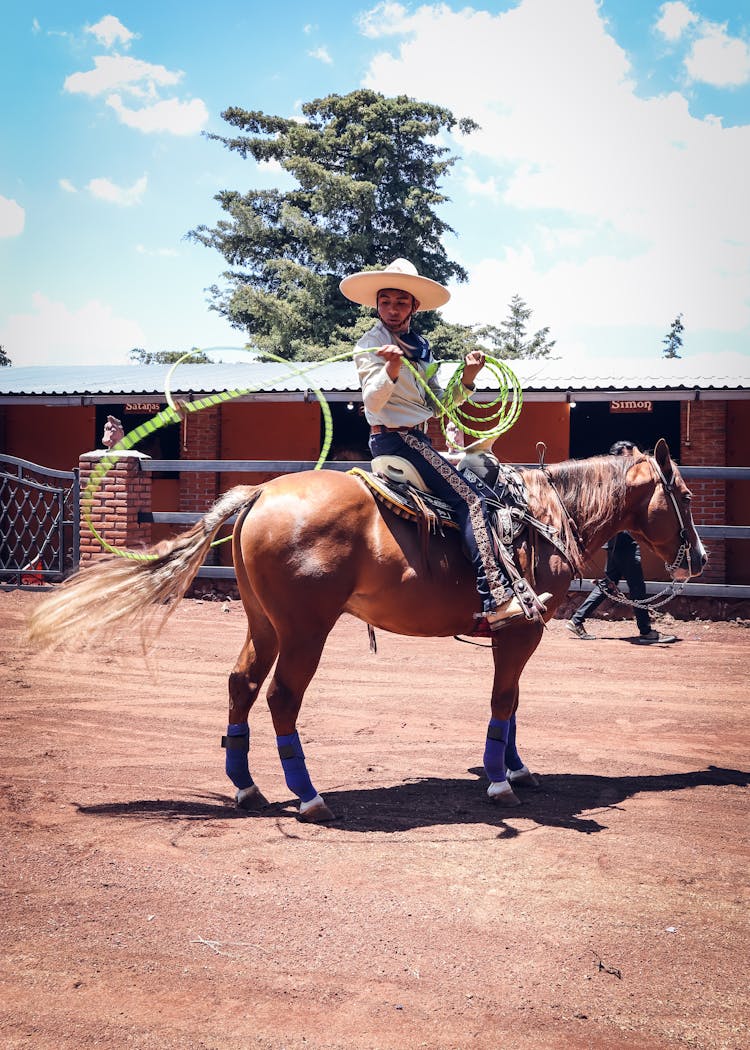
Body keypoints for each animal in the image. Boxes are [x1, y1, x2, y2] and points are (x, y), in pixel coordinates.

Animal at [27, 434, 701, 818]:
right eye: (687, 497)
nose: (698, 557)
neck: (541, 514)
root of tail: (260, 495)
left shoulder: (516, 637)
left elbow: (511, 704)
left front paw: (516, 768)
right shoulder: (520, 631)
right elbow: (504, 700)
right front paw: (500, 781)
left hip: (262, 623)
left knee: (241, 686)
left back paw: (247, 788)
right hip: (304, 631)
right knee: (282, 698)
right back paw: (309, 797)